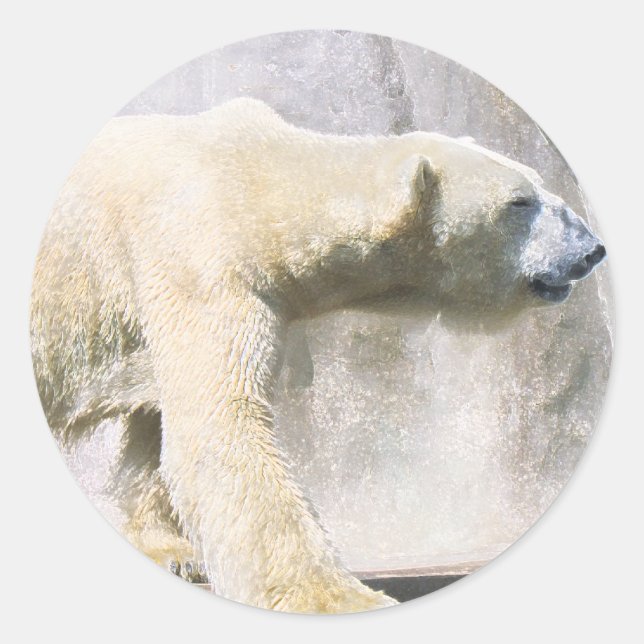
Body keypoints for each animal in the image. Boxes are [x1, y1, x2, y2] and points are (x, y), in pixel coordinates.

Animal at [30, 98, 606, 613]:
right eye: (519, 202)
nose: (591, 248)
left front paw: (174, 551)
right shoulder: (201, 266)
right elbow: (220, 427)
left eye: (535, 181)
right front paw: (343, 599)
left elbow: (158, 426)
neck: (257, 184)